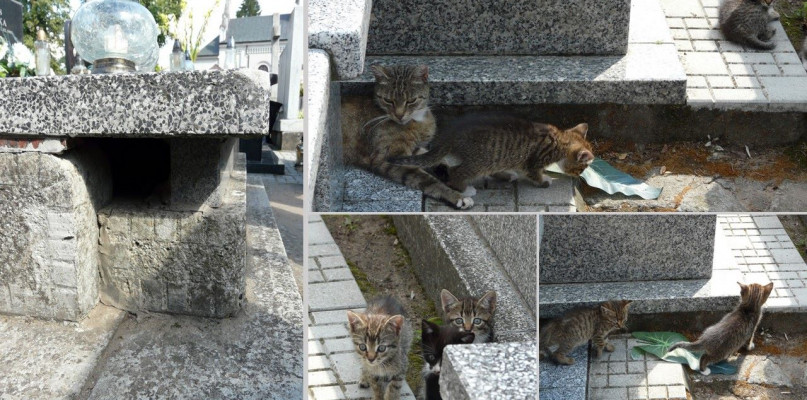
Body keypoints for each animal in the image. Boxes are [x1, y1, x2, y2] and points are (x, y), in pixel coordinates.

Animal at [344, 64, 476, 209]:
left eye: (411, 101)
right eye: (388, 100)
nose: (399, 115)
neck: (417, 120)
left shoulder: (413, 151)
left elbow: (437, 158)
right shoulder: (389, 157)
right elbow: (428, 180)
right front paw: (458, 196)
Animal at [392, 114, 592, 198]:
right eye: (582, 166)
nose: (580, 175)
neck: (561, 139)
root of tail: (451, 134)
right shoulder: (533, 162)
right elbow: (534, 173)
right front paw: (544, 180)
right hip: (479, 161)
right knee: (456, 173)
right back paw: (465, 189)